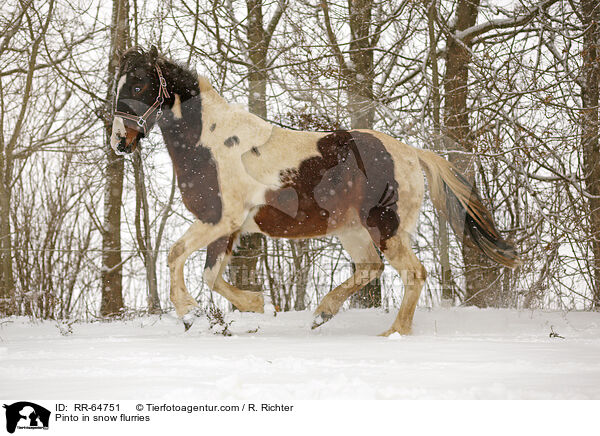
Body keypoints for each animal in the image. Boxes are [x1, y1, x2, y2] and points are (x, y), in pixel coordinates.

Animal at [112, 46, 520, 334]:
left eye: (138, 85)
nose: (119, 141)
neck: (212, 143)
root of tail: (410, 152)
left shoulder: (219, 219)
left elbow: (175, 255)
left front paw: (189, 314)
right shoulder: (228, 228)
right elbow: (210, 275)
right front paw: (259, 307)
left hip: (386, 227)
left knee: (414, 274)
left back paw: (394, 333)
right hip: (352, 229)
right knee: (370, 268)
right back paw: (322, 313)